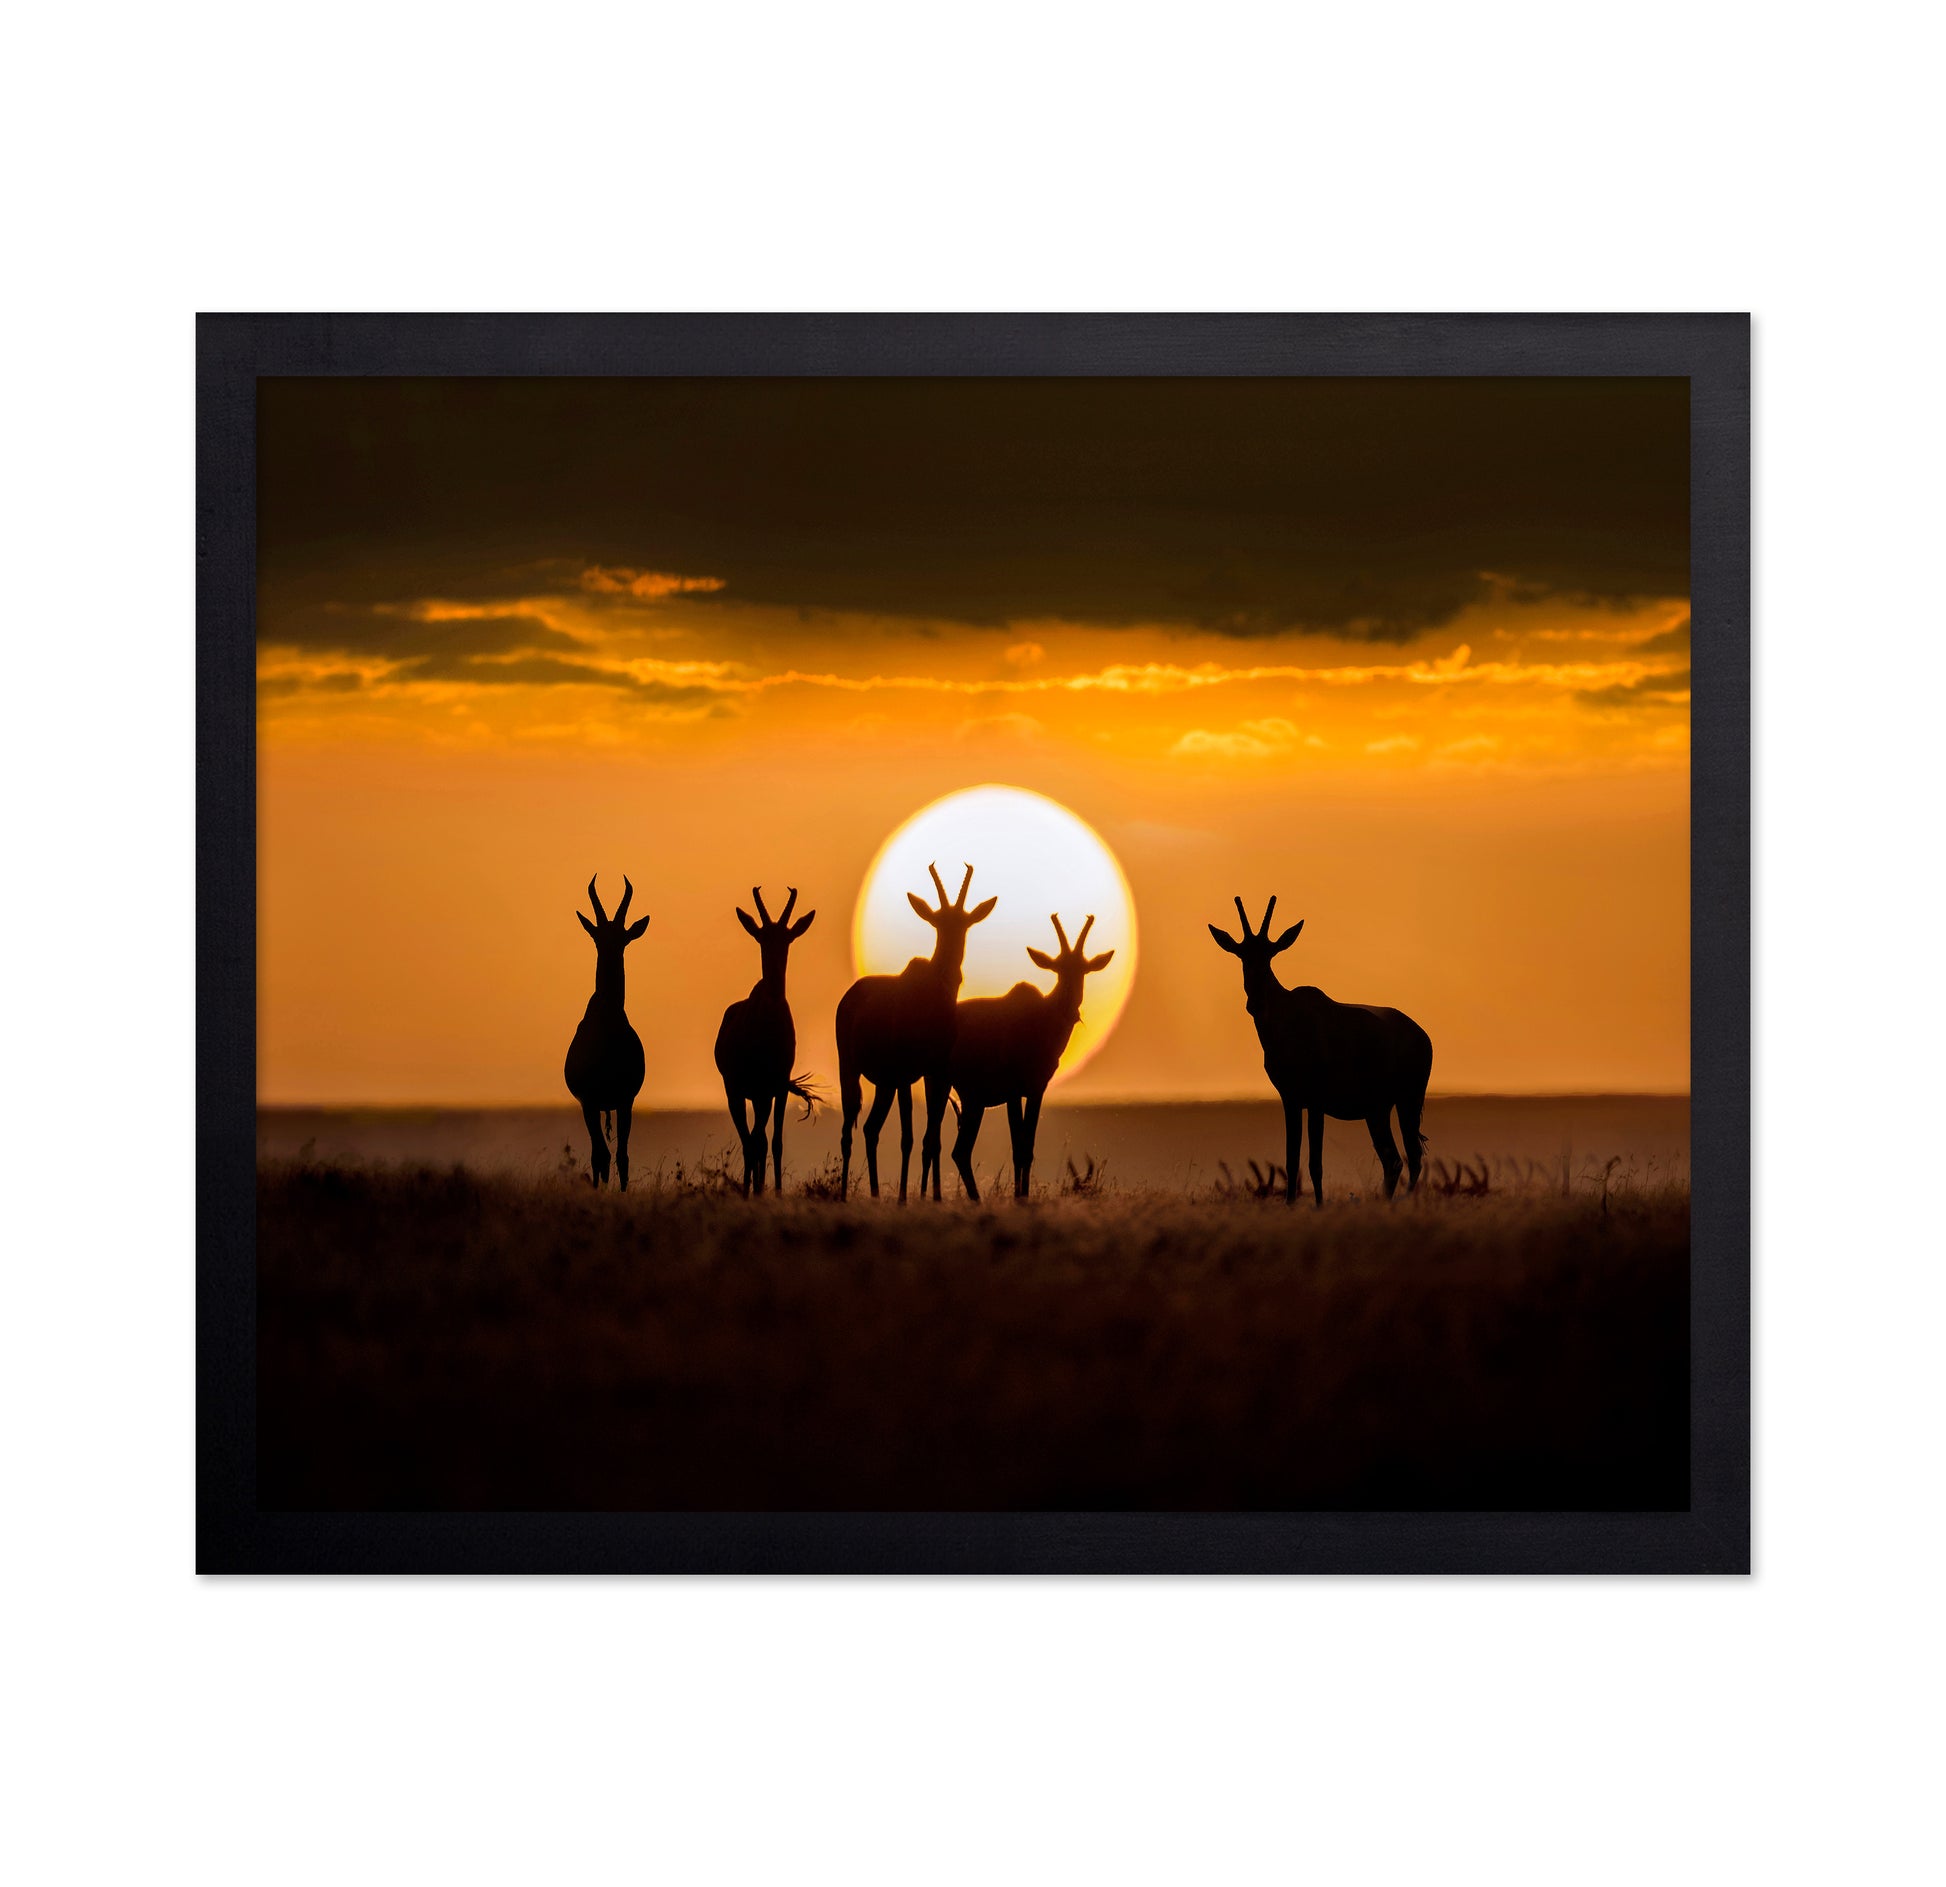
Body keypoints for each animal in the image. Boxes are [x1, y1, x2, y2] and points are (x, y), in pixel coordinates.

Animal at [564, 875, 650, 1189]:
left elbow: (623, 1157)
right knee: (599, 1154)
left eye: (623, 937)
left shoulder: (626, 1100)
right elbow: (599, 1155)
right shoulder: (588, 1102)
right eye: (597, 937)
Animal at [713, 885, 818, 1196]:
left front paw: (777, 1192)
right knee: (749, 1140)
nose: (771, 983)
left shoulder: (777, 1088)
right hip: (735, 1092)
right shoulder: (752, 1089)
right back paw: (750, 1189)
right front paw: (753, 1191)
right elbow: (755, 1141)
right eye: (761, 938)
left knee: (758, 1139)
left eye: (787, 938)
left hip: (761, 1095)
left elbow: (775, 1142)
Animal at [835, 862, 995, 1202]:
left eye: (965, 924)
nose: (953, 971)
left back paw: (875, 1194)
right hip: (852, 1070)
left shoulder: (937, 1074)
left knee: (870, 1128)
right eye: (938, 923)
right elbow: (907, 1137)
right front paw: (904, 1199)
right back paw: (843, 1194)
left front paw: (930, 1197)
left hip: (884, 1084)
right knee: (848, 1129)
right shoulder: (905, 1076)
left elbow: (931, 1138)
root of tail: (850, 997)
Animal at [948, 914, 1115, 1202]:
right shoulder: (1014, 1092)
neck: (1039, 1018)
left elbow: (1029, 1146)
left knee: (961, 1151)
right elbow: (1018, 1146)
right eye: (1058, 968)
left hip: (973, 1101)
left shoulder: (1037, 1090)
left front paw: (1023, 1197)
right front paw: (1019, 1198)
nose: (1070, 1009)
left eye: (1084, 970)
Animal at [1208, 896, 1433, 1207]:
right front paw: (1290, 1205)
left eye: (1269, 955)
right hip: (1378, 1110)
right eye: (1242, 955)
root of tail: (1421, 1035)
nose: (1254, 1004)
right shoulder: (1290, 1100)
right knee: (1393, 1159)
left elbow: (1316, 1162)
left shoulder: (1315, 1102)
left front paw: (1318, 1206)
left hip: (1407, 1101)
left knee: (1412, 1157)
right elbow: (1292, 1159)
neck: (1289, 1016)